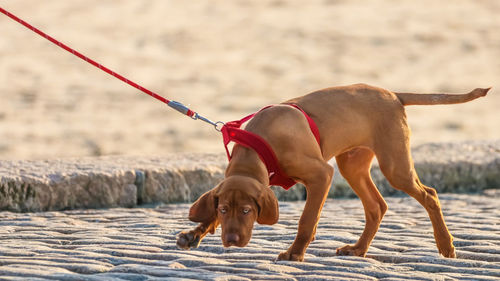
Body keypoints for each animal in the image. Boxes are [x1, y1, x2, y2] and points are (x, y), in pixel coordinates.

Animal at [175, 83, 488, 260]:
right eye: (224, 209)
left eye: (247, 211)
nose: (231, 242)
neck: (259, 143)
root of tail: (393, 95)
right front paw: (194, 234)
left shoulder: (321, 175)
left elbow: (307, 220)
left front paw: (295, 253)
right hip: (352, 164)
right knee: (376, 206)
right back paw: (358, 250)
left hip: (394, 165)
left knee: (430, 195)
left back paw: (446, 246)